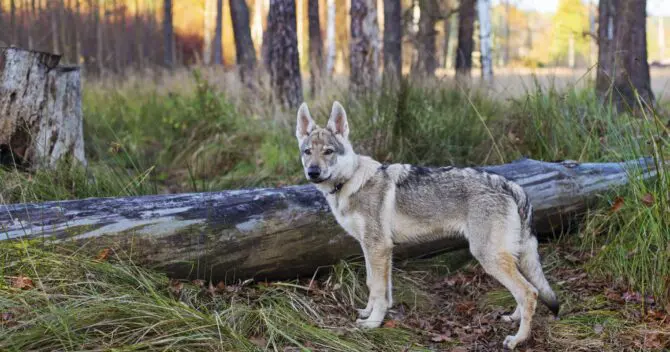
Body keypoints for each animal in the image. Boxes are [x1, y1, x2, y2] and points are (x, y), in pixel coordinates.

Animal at [296, 102, 560, 350]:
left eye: (328, 152)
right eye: (307, 152)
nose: (313, 172)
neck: (350, 181)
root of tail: (511, 185)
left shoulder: (378, 247)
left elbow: (379, 290)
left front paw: (373, 324)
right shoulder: (374, 248)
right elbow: (375, 286)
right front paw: (368, 313)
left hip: (488, 257)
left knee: (529, 293)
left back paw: (517, 340)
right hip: (508, 256)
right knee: (525, 292)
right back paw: (513, 318)